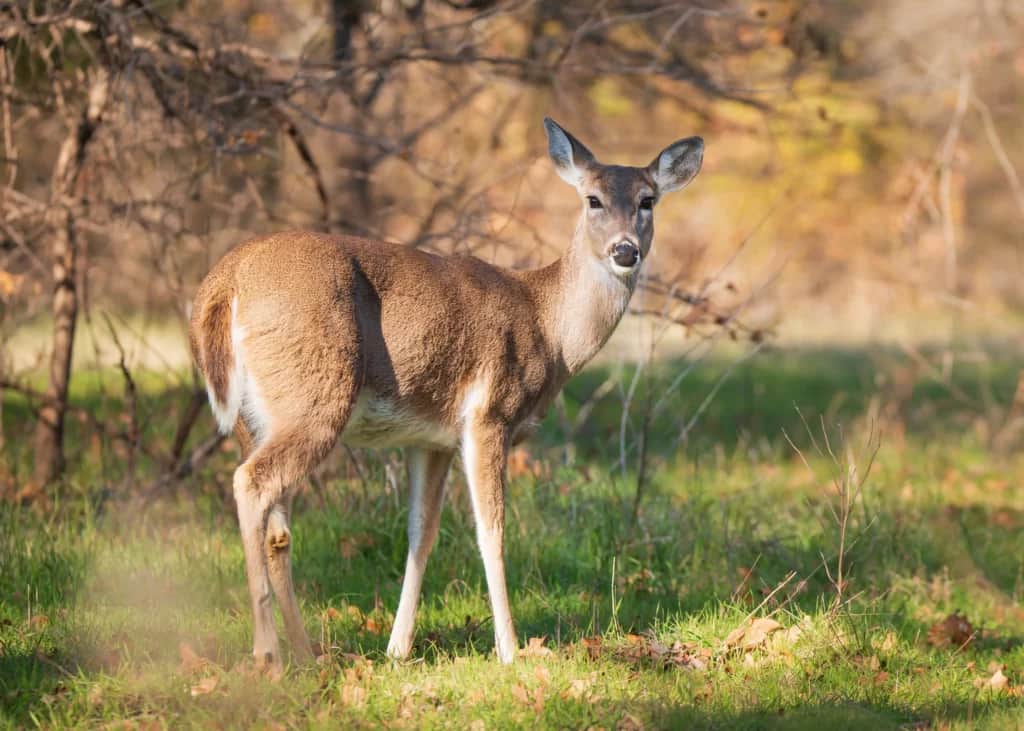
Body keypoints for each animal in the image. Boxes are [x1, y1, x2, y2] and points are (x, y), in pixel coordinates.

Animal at [188, 117, 703, 671]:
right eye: (593, 199)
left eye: (648, 200)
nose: (625, 251)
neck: (548, 327)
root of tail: (223, 285)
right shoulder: (489, 413)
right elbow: (491, 530)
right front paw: (510, 650)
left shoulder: (429, 438)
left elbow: (421, 532)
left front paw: (397, 648)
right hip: (314, 394)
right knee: (251, 483)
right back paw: (267, 654)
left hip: (255, 416)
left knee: (277, 523)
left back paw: (306, 655)